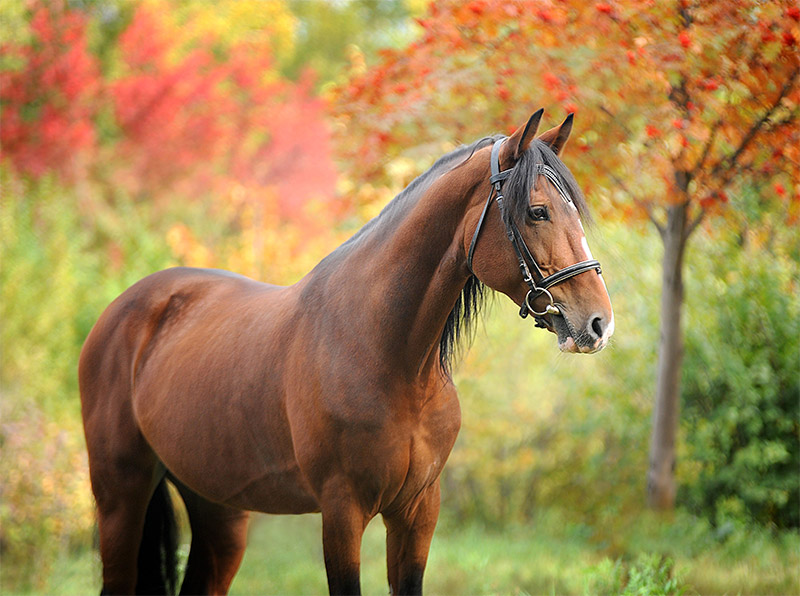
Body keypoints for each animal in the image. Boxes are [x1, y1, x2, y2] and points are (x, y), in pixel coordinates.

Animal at [79, 112, 612, 596]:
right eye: (538, 211)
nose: (598, 323)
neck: (388, 356)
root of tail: (123, 310)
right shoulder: (342, 511)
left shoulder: (417, 512)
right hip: (121, 496)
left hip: (219, 510)